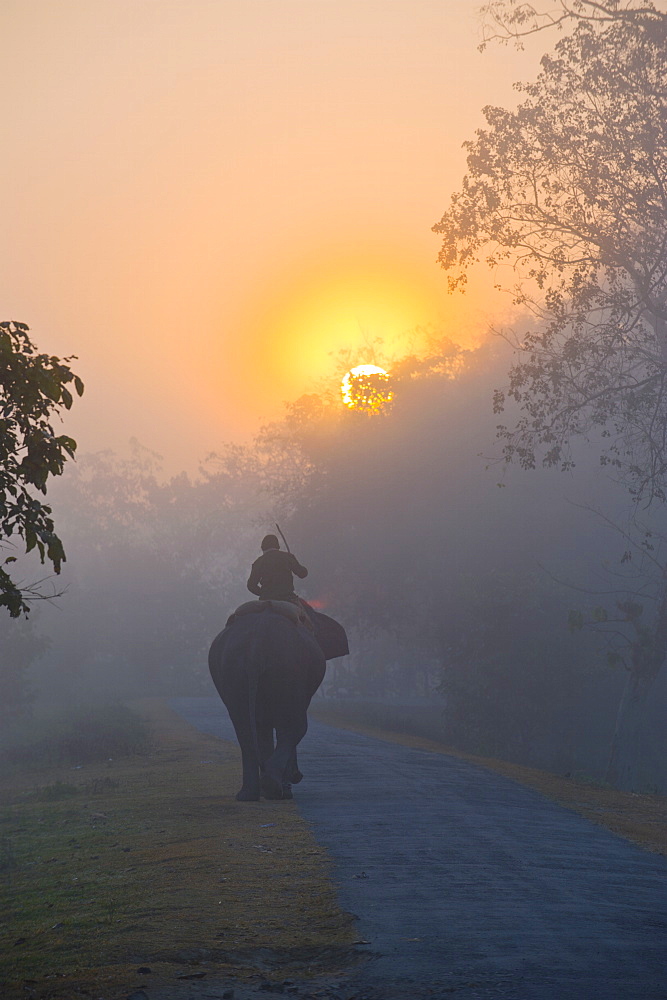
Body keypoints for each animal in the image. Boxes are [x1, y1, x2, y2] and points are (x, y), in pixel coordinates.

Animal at [207, 596, 324, 800]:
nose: (298, 776)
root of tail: (256, 644)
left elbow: (262, 728)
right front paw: (284, 788)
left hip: (230, 670)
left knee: (244, 727)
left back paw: (248, 794)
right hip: (288, 668)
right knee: (294, 726)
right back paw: (272, 788)